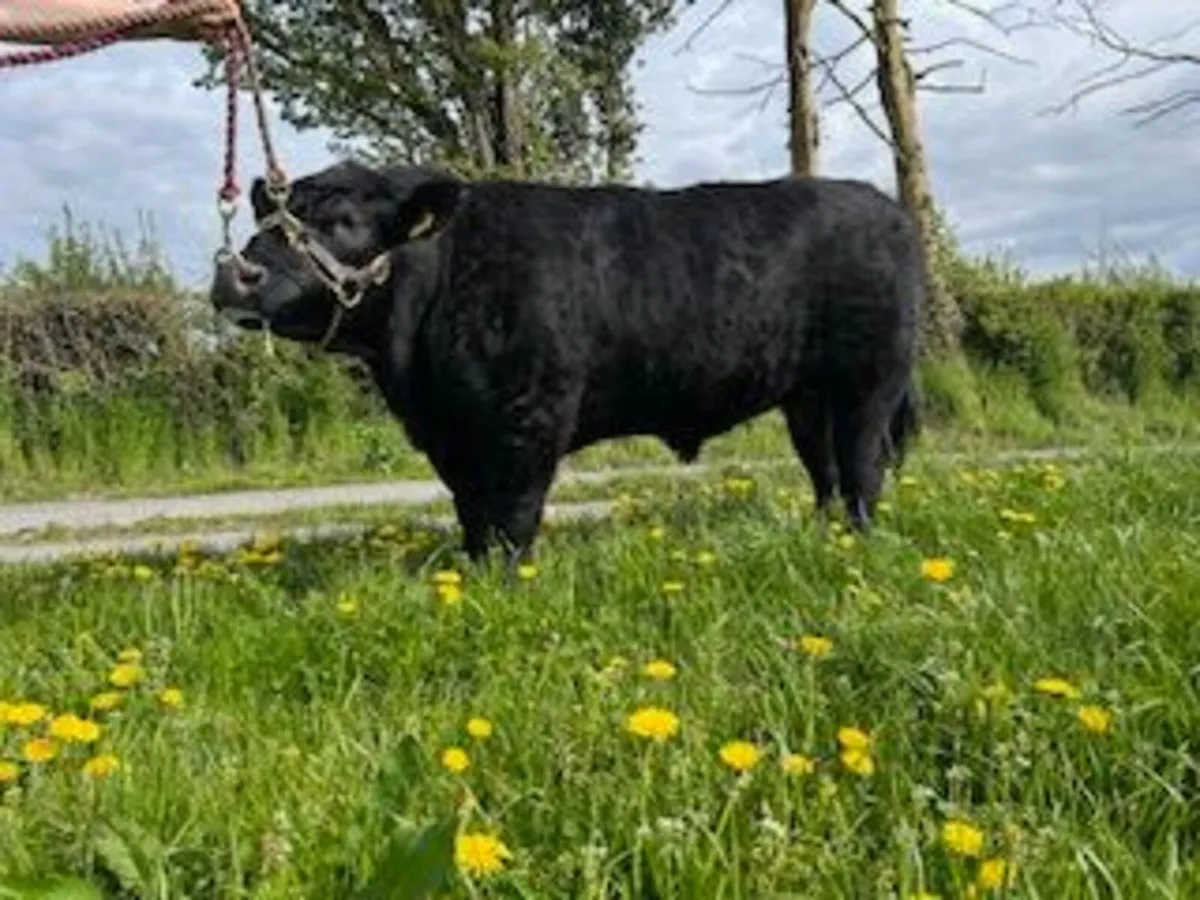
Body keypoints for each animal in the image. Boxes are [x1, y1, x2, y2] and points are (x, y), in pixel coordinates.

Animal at [209, 160, 923, 569]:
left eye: (345, 222)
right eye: (265, 221)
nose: (236, 273)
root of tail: (888, 208)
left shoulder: (529, 416)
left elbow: (514, 514)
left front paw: (508, 581)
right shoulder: (450, 437)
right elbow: (473, 512)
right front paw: (472, 577)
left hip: (870, 383)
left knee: (863, 466)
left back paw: (858, 543)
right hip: (807, 396)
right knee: (825, 470)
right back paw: (826, 536)